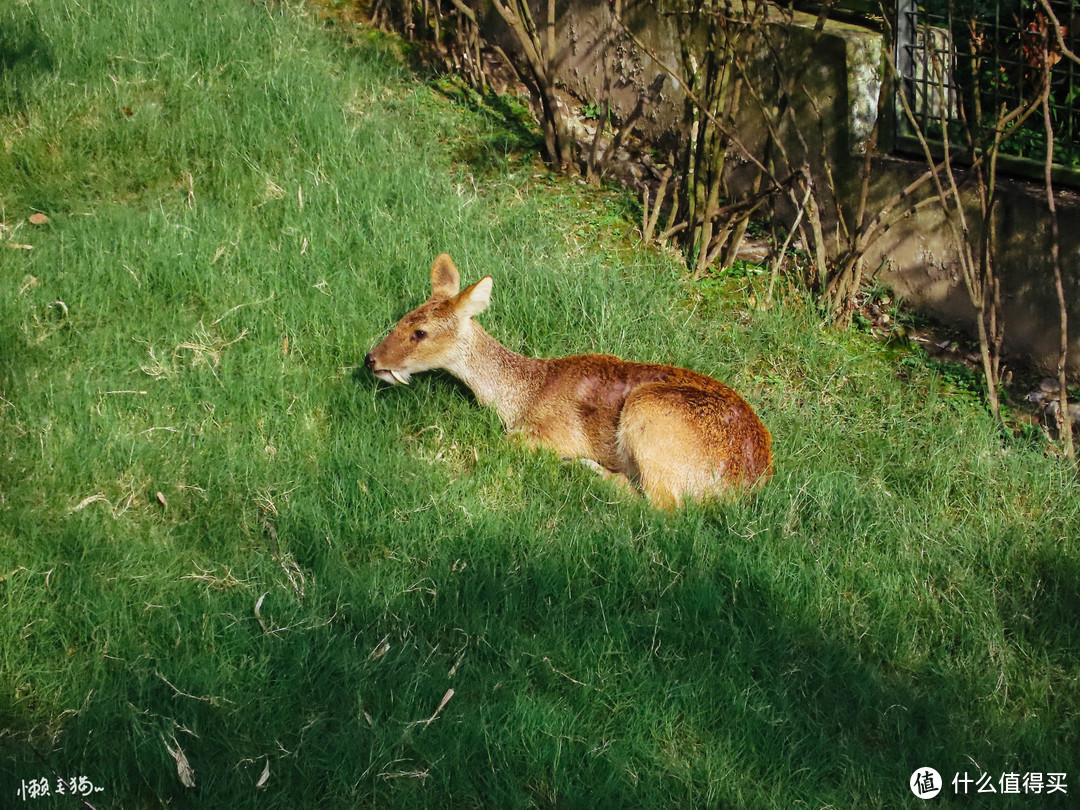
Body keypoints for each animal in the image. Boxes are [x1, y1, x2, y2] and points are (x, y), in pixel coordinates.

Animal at [367, 253, 773, 509]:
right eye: (403, 318)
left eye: (420, 332)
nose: (371, 360)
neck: (524, 393)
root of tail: (747, 482)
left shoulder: (551, 432)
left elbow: (502, 443)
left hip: (653, 413)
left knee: (663, 507)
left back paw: (584, 469)